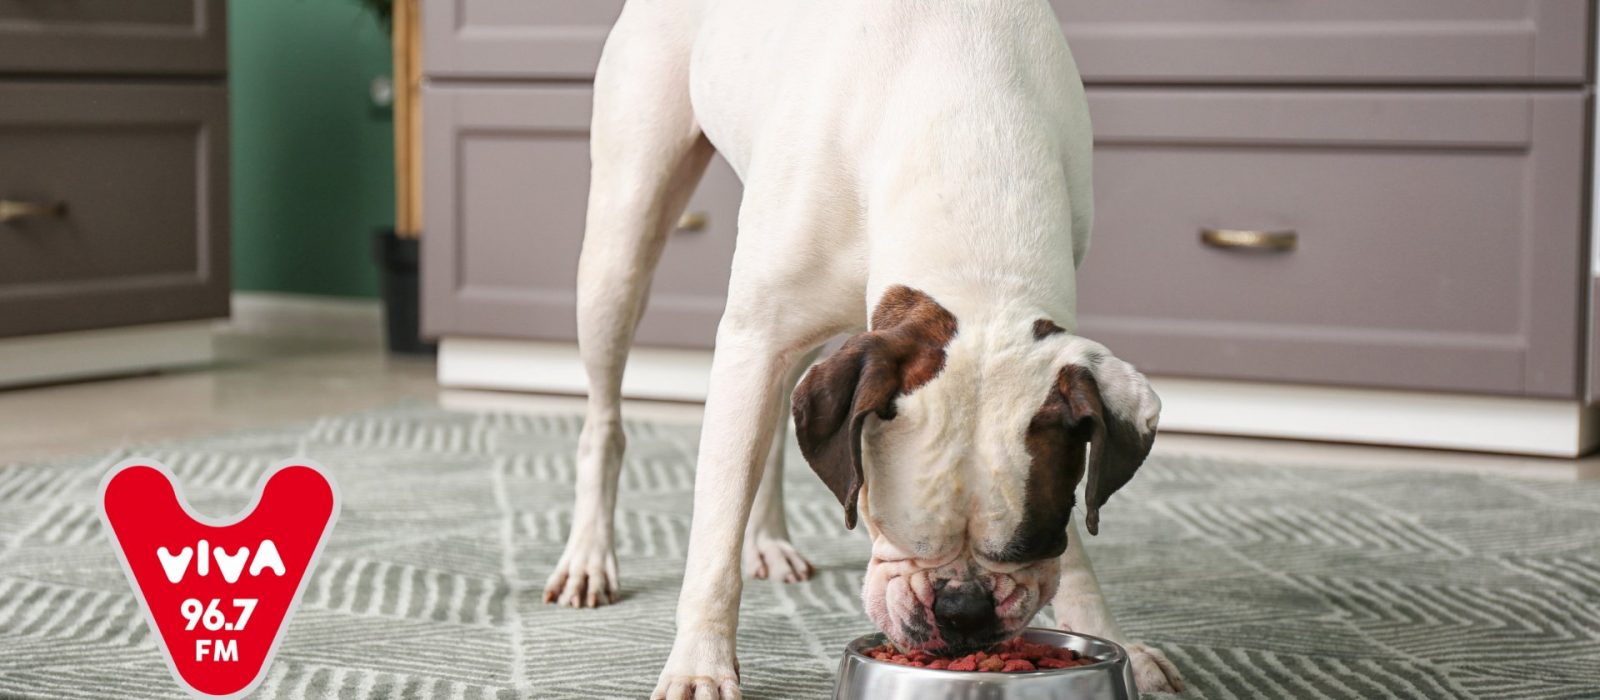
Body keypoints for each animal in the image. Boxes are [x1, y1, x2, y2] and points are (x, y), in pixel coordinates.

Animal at [539, 1, 1183, 697]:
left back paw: (767, 540)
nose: (962, 609)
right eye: (892, 530)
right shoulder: (751, 339)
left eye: (1031, 543)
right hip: (621, 245)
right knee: (607, 418)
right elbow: (714, 535)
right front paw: (699, 664)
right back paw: (589, 556)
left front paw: (1113, 640)